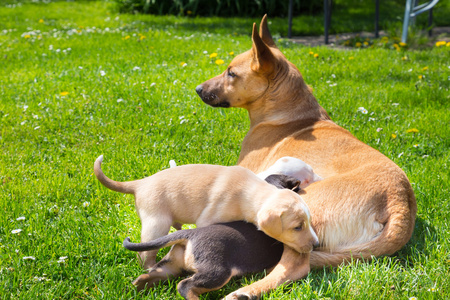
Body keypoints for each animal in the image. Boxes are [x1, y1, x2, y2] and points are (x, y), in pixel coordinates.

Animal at [94, 156, 320, 268]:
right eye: (297, 227)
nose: (317, 245)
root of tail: (140, 183)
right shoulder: (207, 219)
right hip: (156, 223)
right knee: (145, 254)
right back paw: (151, 267)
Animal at [195, 14, 416, 300]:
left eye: (231, 73)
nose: (198, 89)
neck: (293, 113)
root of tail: (399, 202)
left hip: (299, 216)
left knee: (296, 265)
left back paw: (246, 291)